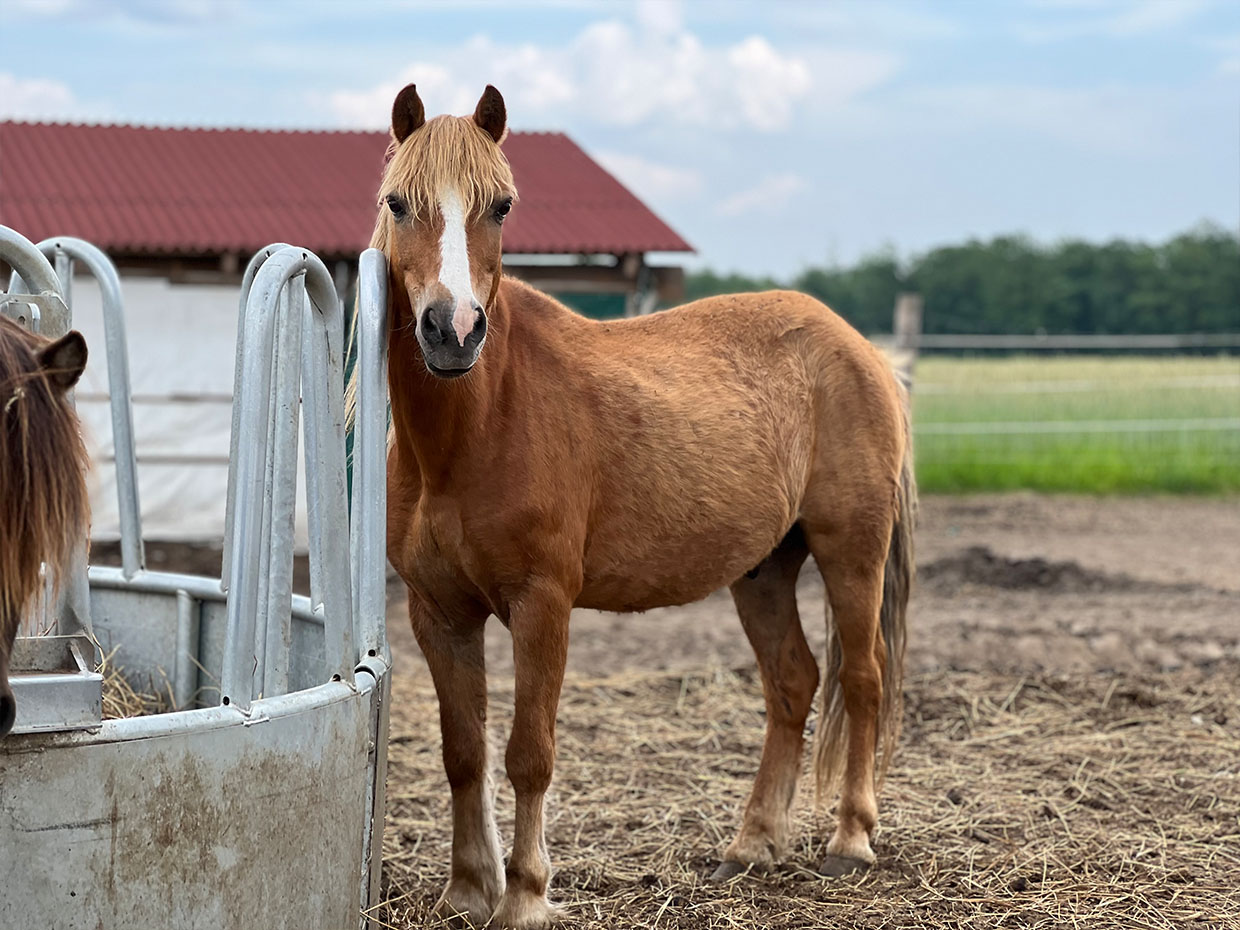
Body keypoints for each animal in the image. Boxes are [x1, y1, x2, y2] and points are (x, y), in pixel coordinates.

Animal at [362, 85, 917, 927]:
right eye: (398, 202)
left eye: (501, 206)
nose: (452, 331)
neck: (476, 428)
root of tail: (861, 350)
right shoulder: (439, 613)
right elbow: (464, 752)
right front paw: (466, 890)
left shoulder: (541, 606)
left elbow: (528, 755)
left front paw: (525, 895)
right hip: (764, 569)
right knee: (792, 683)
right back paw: (751, 845)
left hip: (851, 550)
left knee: (863, 679)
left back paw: (850, 840)